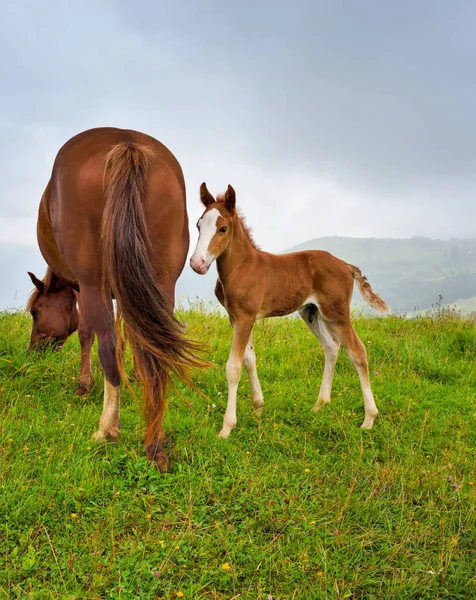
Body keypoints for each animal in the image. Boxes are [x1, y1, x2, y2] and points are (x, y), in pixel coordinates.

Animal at [191, 180, 390, 438]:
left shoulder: (245, 317)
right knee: (331, 347)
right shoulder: (236, 318)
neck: (243, 267)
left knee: (357, 351)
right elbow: (249, 359)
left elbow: (233, 367)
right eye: (198, 225)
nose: (197, 263)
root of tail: (345, 265)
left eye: (223, 228)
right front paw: (258, 408)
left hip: (336, 313)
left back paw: (369, 418)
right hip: (312, 313)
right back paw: (319, 405)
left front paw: (227, 427)